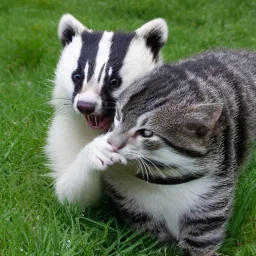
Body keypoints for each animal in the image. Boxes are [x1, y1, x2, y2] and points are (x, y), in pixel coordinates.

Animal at [104, 49, 256, 255]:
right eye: (118, 116)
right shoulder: (134, 205)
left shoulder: (211, 200)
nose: (112, 144)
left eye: (146, 133)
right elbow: (150, 237)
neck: (163, 173)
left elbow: (202, 239)